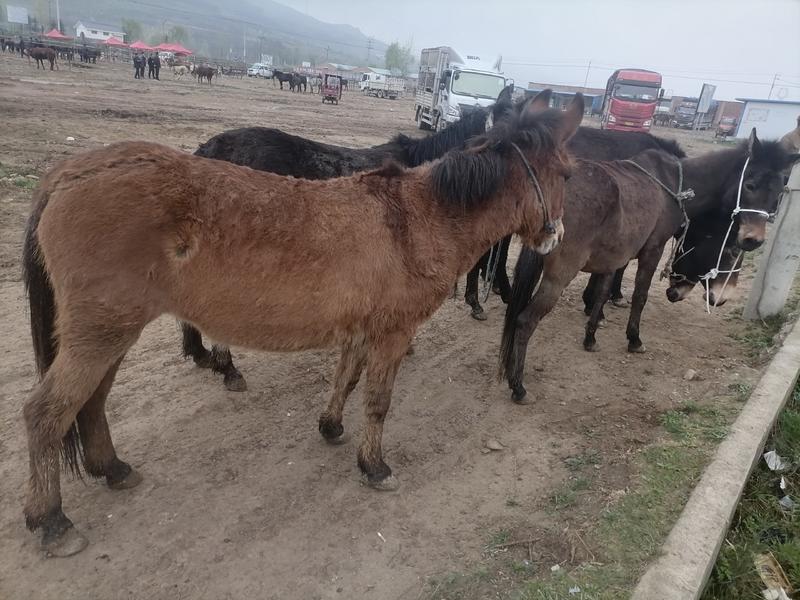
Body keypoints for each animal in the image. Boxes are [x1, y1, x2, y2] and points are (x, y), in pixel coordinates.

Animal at [500, 131, 792, 404]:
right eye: (750, 184)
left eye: (778, 194)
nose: (754, 239)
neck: (674, 185)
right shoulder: (653, 250)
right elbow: (639, 296)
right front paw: (634, 339)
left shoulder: (614, 256)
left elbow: (602, 294)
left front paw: (591, 337)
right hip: (560, 274)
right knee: (525, 320)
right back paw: (518, 386)